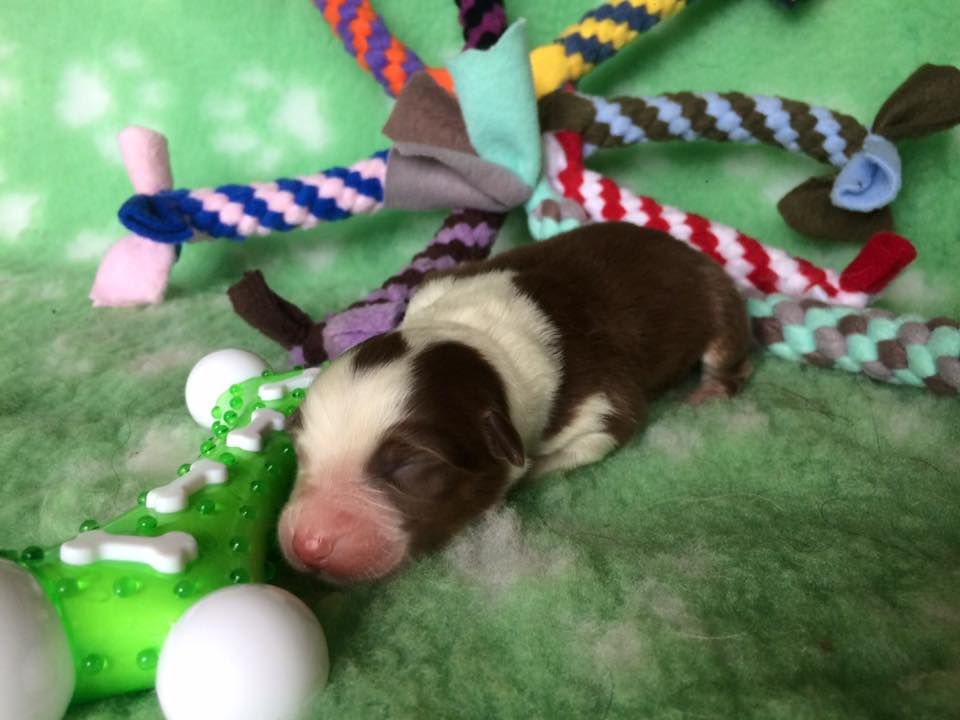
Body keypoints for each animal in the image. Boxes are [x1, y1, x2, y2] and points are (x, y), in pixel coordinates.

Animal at [278, 222, 752, 584]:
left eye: (411, 465)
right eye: (299, 449)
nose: (308, 545)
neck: (480, 339)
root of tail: (680, 246)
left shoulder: (601, 402)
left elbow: (609, 429)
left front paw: (532, 470)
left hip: (719, 298)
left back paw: (711, 390)